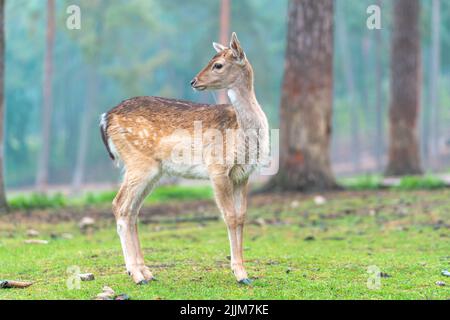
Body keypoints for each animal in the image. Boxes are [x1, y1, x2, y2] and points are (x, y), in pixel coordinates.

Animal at [100, 32, 268, 284]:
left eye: (218, 64)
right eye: (212, 60)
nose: (194, 81)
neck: (241, 131)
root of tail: (105, 119)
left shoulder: (243, 174)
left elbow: (241, 217)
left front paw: (245, 272)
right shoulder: (217, 168)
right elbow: (229, 216)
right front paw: (239, 274)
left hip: (153, 172)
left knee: (132, 210)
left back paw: (146, 272)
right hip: (139, 163)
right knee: (120, 205)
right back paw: (136, 275)